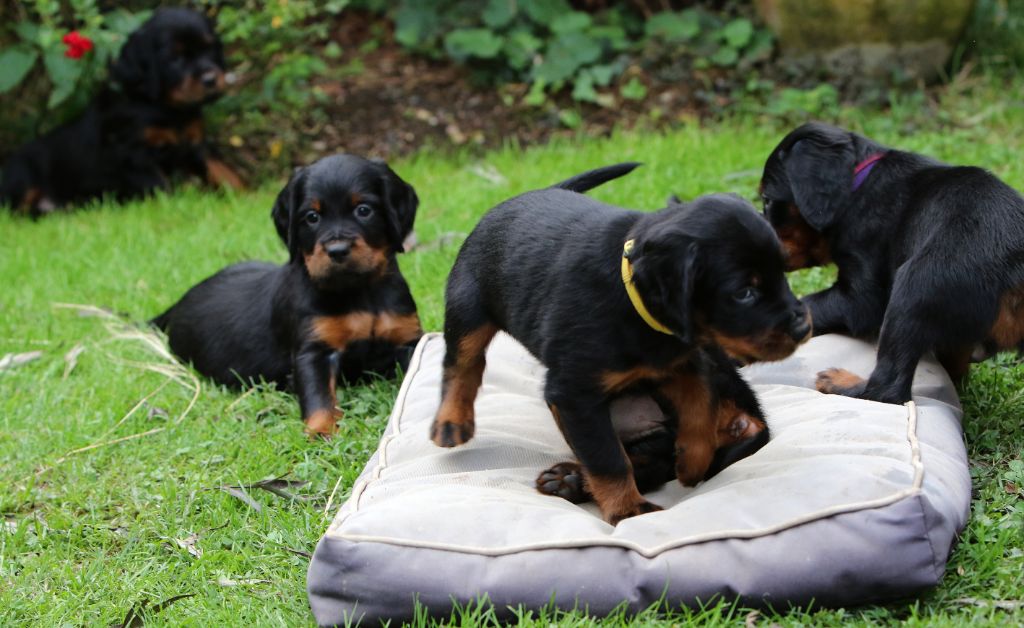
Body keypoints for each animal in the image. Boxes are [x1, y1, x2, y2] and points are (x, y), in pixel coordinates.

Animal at [0, 6, 240, 217]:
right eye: (175, 59)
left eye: (210, 49)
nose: (211, 79)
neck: (164, 108)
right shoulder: (134, 155)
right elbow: (161, 187)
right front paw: (175, 209)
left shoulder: (196, 144)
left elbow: (223, 171)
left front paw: (244, 198)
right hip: (22, 176)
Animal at [150, 154, 419, 434]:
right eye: (312, 217)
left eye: (364, 210)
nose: (337, 251)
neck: (360, 291)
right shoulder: (313, 352)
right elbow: (319, 397)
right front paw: (322, 431)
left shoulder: (407, 338)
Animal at [757, 123, 1024, 401]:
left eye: (767, 200)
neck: (857, 187)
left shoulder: (861, 296)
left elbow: (814, 304)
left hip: (915, 286)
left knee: (889, 388)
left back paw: (841, 383)